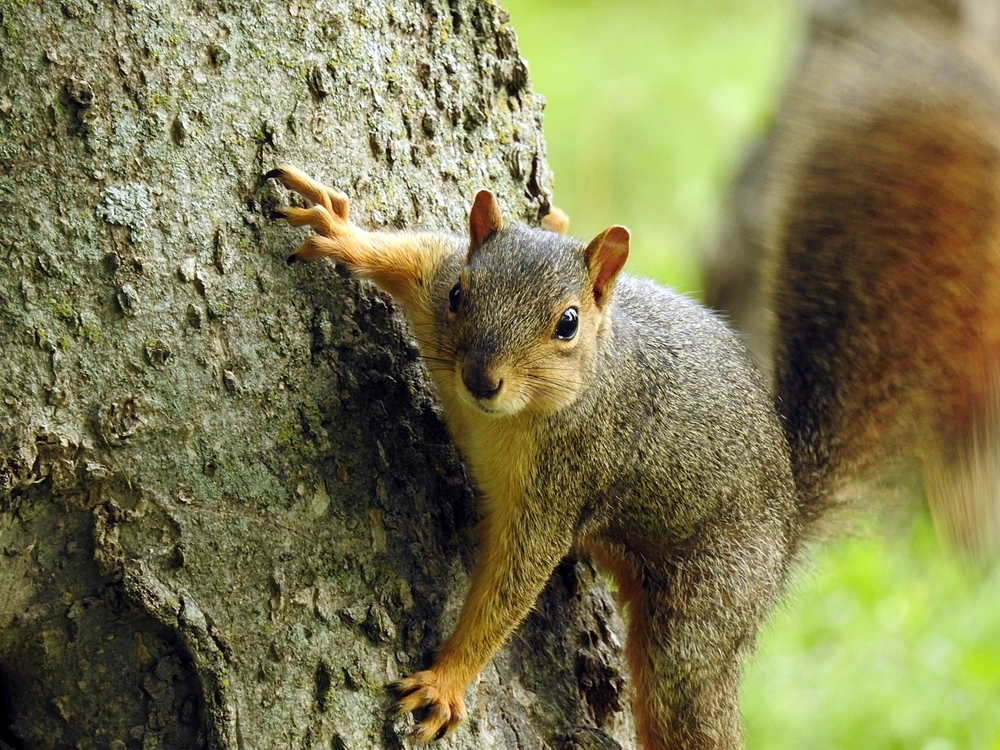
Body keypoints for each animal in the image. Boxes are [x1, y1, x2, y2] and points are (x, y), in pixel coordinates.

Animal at [265, 164, 800, 749]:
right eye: (460, 293)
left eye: (567, 323)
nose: (480, 380)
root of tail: (787, 533)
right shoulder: (434, 275)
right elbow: (407, 252)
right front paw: (342, 232)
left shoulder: (563, 481)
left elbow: (515, 581)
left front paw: (446, 682)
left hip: (709, 602)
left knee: (687, 688)